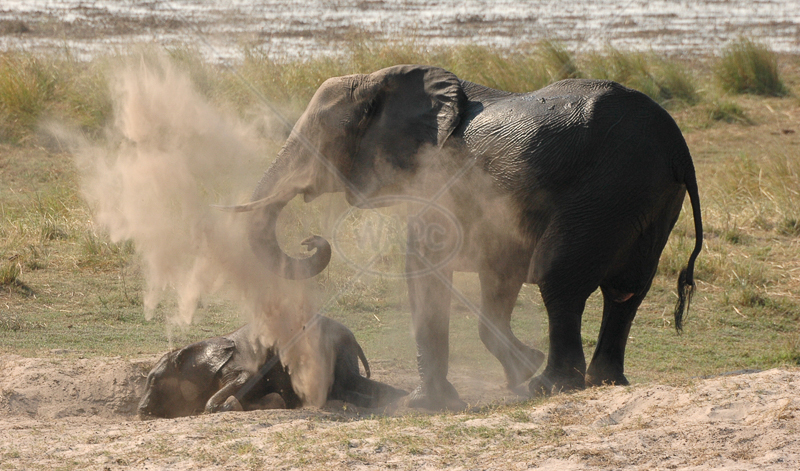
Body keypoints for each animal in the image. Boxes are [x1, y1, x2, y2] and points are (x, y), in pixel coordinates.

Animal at [236, 64, 700, 412]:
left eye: (322, 139)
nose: (310, 241)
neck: (384, 78)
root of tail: (678, 149)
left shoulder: (437, 177)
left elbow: (423, 267)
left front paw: (424, 404)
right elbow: (497, 279)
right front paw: (519, 367)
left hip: (605, 193)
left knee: (560, 281)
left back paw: (550, 387)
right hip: (648, 200)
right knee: (627, 291)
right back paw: (604, 382)